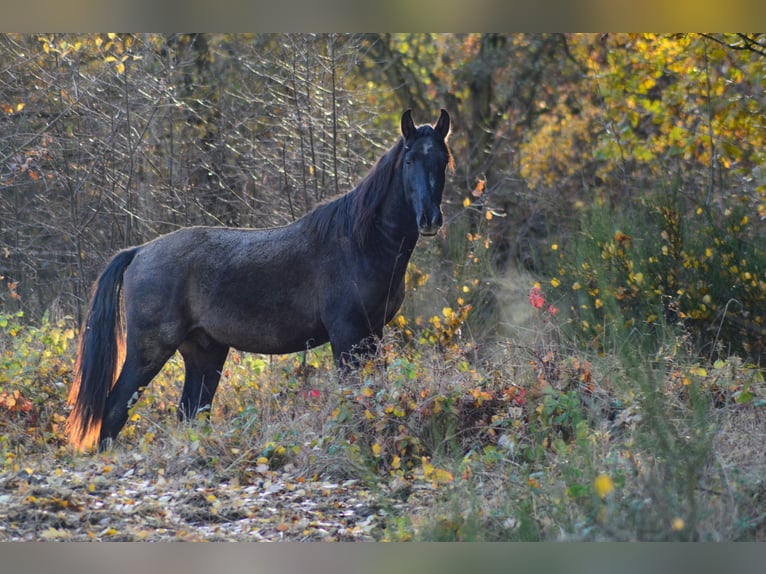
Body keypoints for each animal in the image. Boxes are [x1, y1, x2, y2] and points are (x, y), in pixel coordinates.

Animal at [66, 110, 452, 454]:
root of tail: (139, 252)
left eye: (443, 161)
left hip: (204, 352)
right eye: (410, 160)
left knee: (190, 412)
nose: (430, 219)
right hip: (149, 351)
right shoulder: (347, 335)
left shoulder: (373, 333)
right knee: (115, 409)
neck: (359, 242)